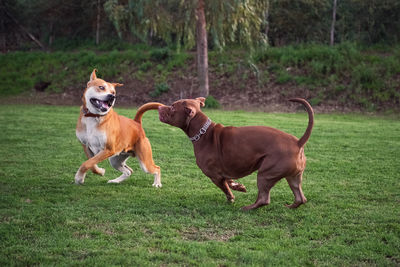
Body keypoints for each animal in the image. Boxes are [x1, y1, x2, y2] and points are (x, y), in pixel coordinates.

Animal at [158, 97, 314, 210]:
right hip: (293, 177)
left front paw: (232, 197)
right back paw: (290, 206)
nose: (159, 107)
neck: (203, 132)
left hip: (265, 174)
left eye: (172, 107)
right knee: (300, 198)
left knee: (264, 199)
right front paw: (239, 186)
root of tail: (298, 142)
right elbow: (229, 181)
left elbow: (226, 188)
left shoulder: (214, 176)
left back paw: (248, 208)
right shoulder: (223, 172)